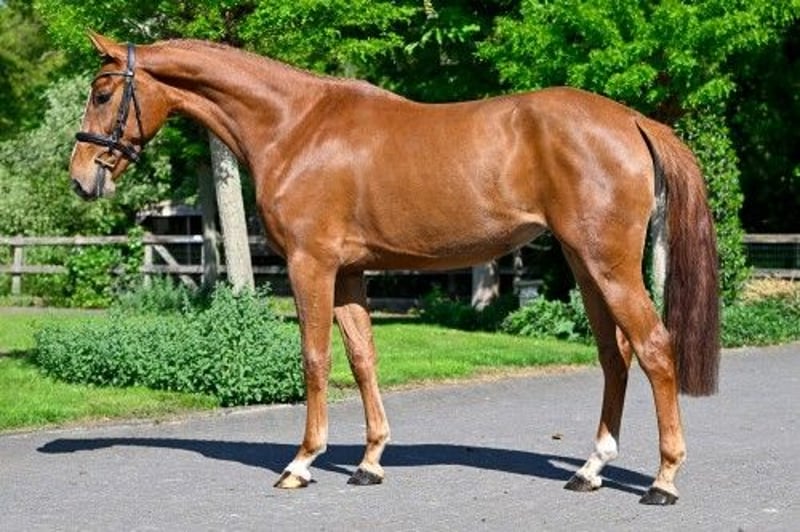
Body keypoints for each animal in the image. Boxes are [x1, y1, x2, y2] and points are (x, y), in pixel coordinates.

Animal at [70, 33, 720, 505]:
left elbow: (315, 359)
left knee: (654, 347)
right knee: (616, 354)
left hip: (608, 264)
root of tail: (632, 120)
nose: (80, 178)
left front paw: (301, 462)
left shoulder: (311, 265)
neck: (294, 126)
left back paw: (663, 480)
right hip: (586, 264)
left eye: (102, 93)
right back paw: (590, 469)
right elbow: (362, 359)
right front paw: (369, 462)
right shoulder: (350, 273)